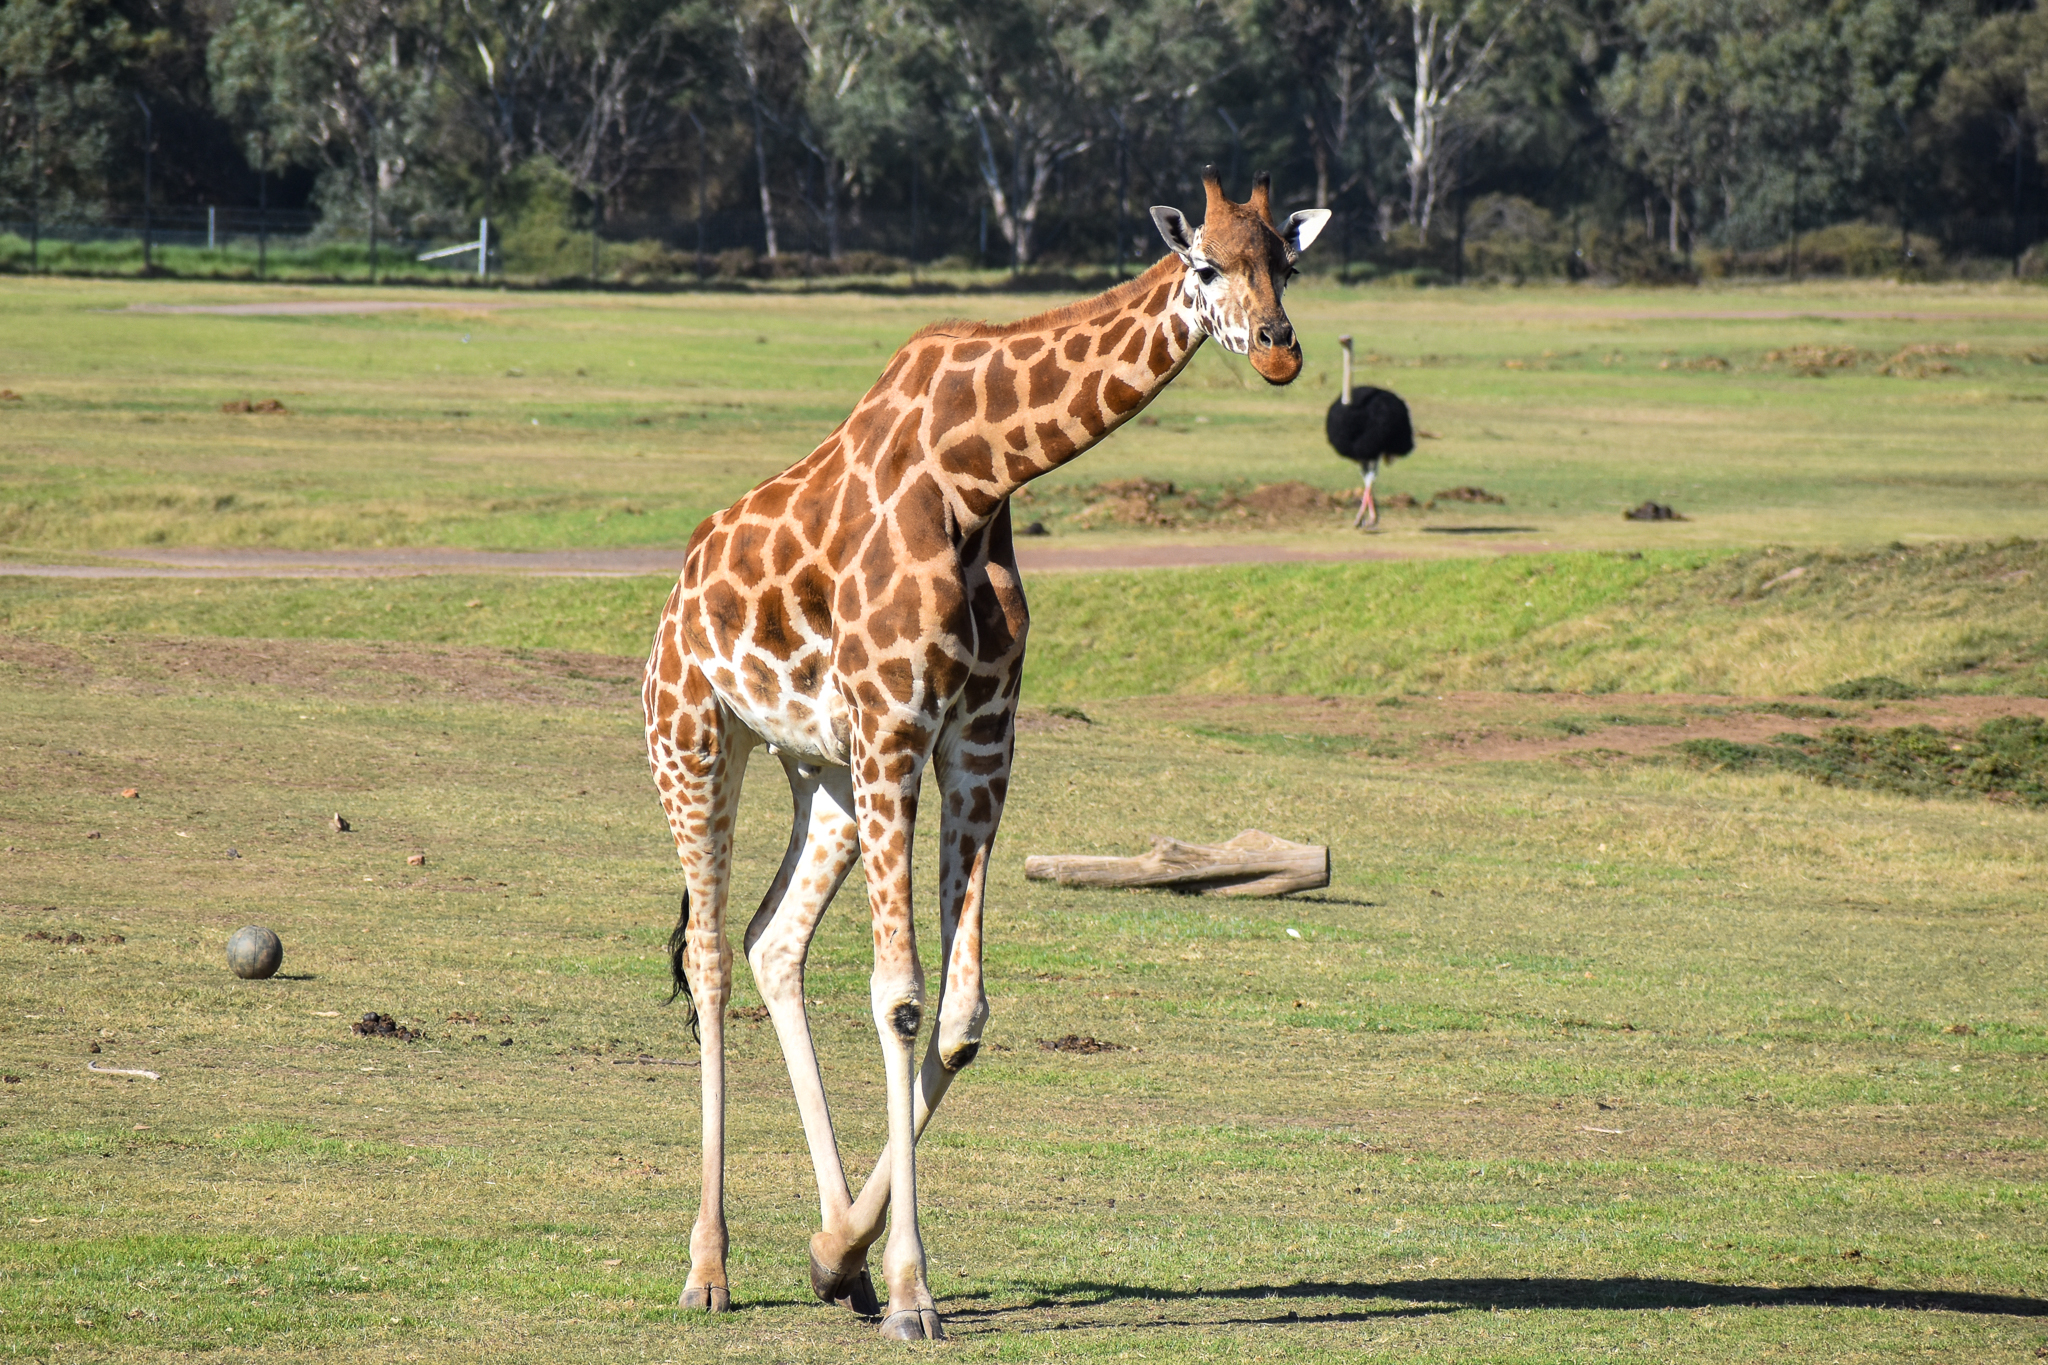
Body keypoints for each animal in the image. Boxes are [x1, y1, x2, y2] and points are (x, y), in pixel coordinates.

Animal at [640, 167, 1330, 1341]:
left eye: (1286, 260)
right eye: (1204, 265)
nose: (1280, 349)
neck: (976, 470)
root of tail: (674, 597)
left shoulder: (977, 733)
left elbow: (959, 1017)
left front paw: (844, 1257)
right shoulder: (897, 720)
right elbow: (899, 997)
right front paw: (914, 1293)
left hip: (823, 773)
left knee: (772, 941)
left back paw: (832, 1258)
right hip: (694, 738)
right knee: (708, 957)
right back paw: (707, 1268)